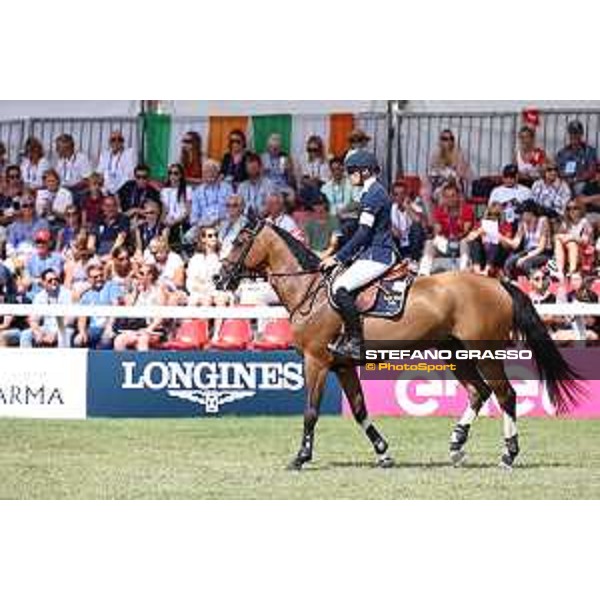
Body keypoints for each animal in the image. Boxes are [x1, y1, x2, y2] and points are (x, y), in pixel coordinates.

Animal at [213, 219, 580, 468]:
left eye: (242, 240)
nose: (218, 278)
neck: (310, 291)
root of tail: (497, 283)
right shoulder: (342, 366)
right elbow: (359, 409)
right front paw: (383, 452)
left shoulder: (316, 361)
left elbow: (311, 412)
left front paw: (301, 457)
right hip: (454, 353)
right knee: (479, 392)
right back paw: (456, 443)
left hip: (485, 354)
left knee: (505, 395)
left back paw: (508, 453)